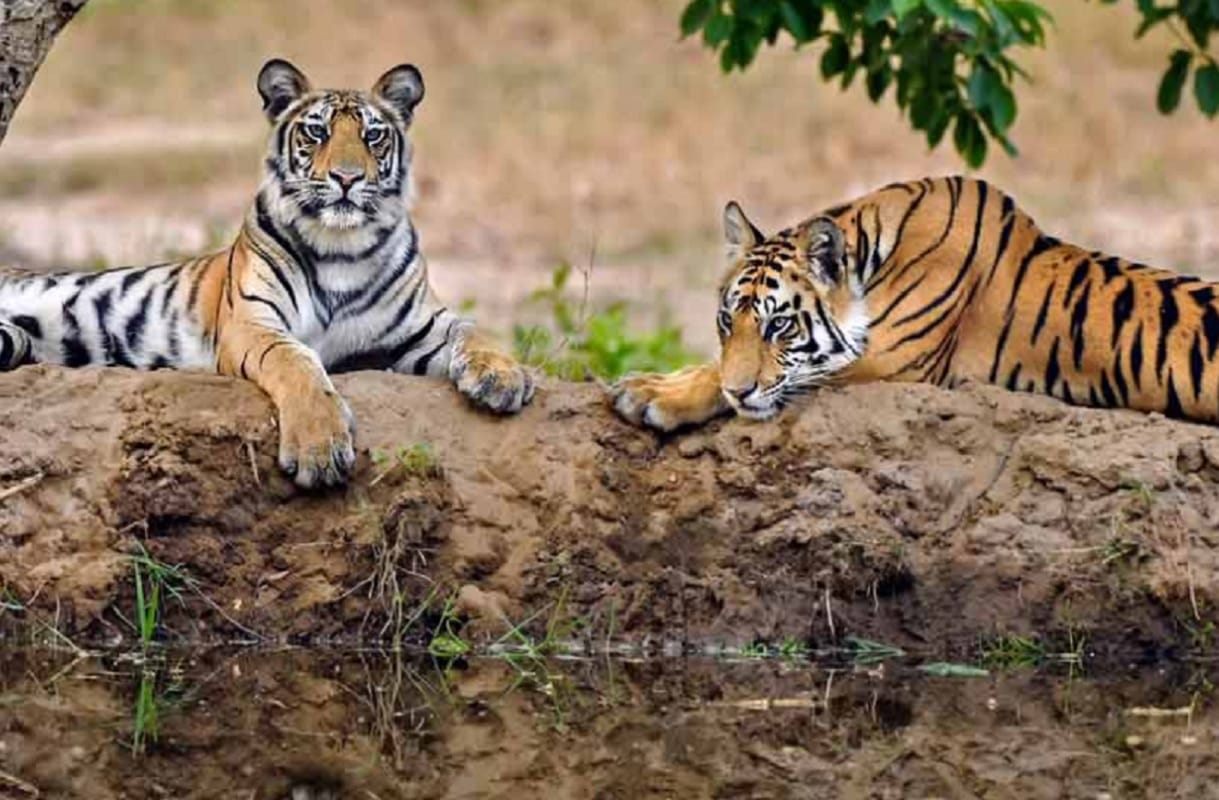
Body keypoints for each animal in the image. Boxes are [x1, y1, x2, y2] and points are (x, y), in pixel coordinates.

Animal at [0, 58, 534, 488]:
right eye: (316, 132)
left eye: (372, 135)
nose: (346, 178)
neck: (341, 247)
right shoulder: (252, 323)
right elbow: (296, 362)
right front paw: (319, 449)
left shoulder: (417, 329)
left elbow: (472, 328)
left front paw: (504, 377)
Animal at [611, 175, 1219, 431]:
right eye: (725, 321)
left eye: (779, 325)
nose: (742, 393)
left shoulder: (892, 362)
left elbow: (723, 375)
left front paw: (649, 394)